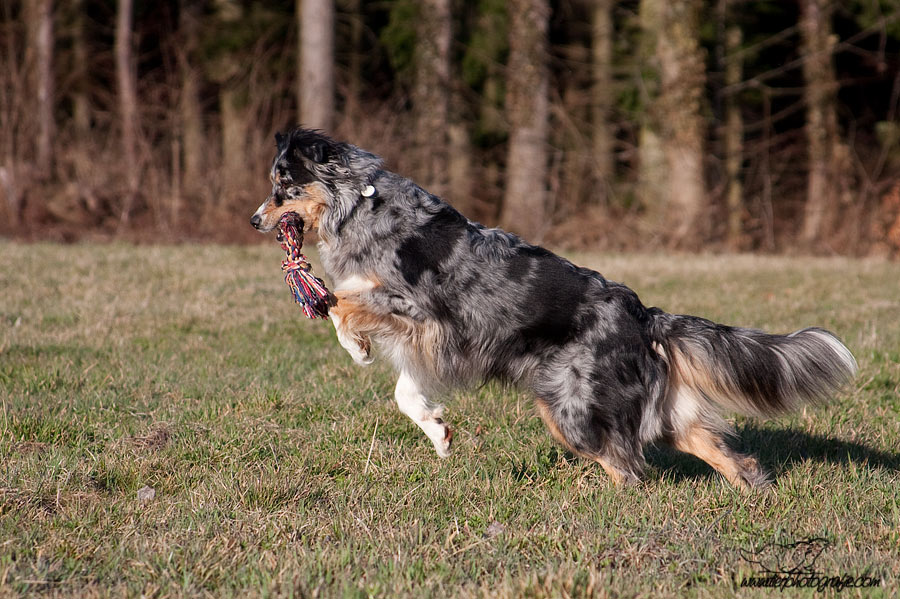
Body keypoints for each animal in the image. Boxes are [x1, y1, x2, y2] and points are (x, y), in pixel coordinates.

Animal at [250, 129, 856, 490]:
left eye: (284, 185)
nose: (255, 220)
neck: (360, 203)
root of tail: (643, 313)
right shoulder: (429, 339)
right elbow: (405, 393)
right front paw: (438, 431)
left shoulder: (417, 310)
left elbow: (338, 302)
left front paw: (355, 345)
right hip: (647, 407)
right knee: (711, 446)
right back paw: (754, 490)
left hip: (570, 406)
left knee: (628, 465)